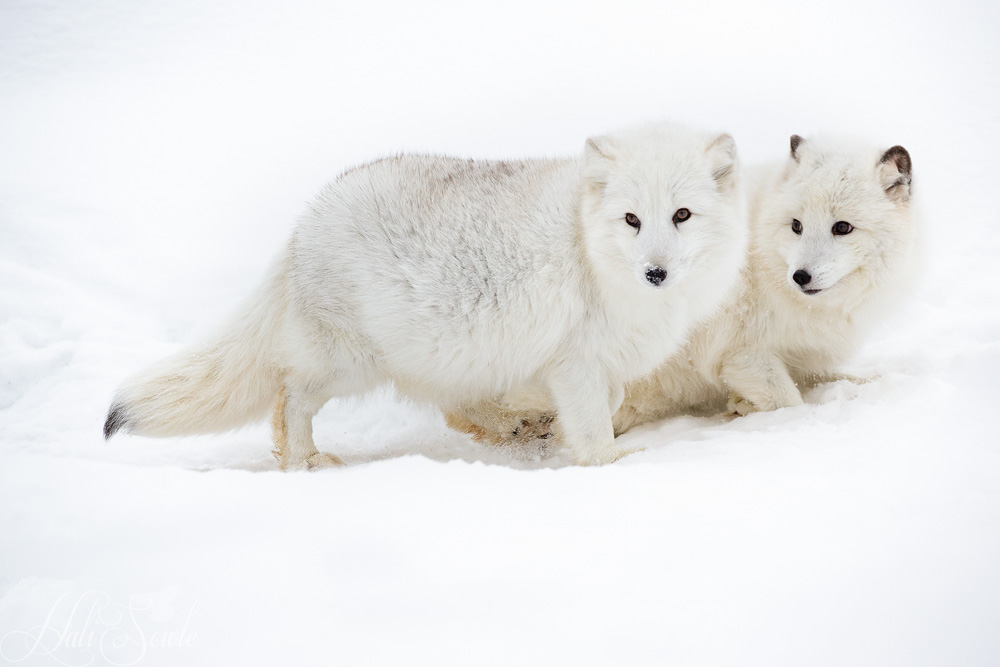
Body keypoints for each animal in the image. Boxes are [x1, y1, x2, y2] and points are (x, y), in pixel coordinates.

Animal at [104, 122, 749, 468]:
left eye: (682, 215)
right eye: (632, 219)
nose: (656, 273)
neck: (589, 251)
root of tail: (302, 227)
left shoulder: (597, 365)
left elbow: (610, 405)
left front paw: (556, 435)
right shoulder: (577, 362)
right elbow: (595, 425)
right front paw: (608, 464)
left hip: (448, 353)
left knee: (453, 407)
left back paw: (513, 427)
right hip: (346, 363)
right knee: (288, 399)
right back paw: (304, 460)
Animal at [446, 134, 918, 445]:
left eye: (843, 227)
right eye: (797, 226)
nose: (800, 276)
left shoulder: (803, 356)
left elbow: (839, 378)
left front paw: (873, 382)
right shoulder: (741, 355)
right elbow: (791, 403)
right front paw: (746, 411)